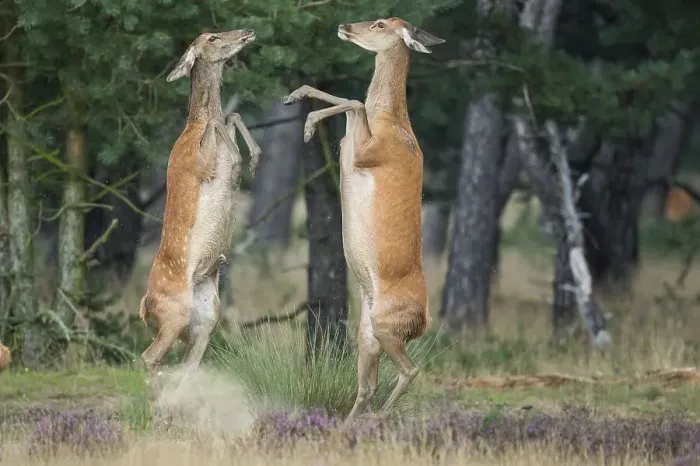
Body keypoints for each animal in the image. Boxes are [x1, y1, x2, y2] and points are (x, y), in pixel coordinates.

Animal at [138, 29, 261, 377]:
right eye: (212, 38)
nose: (247, 31)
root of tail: (145, 307)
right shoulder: (201, 164)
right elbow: (219, 123)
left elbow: (231, 116)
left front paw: (255, 158)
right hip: (175, 311)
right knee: (149, 357)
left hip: (208, 315)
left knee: (187, 361)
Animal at [283, 17, 444, 423]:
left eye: (380, 24)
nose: (344, 25)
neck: (391, 121)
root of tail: (423, 322)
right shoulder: (352, 144)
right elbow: (351, 103)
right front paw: (295, 98)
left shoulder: (367, 153)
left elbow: (354, 103)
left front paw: (307, 125)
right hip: (368, 334)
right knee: (368, 384)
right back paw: (349, 425)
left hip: (387, 325)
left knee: (409, 370)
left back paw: (380, 417)